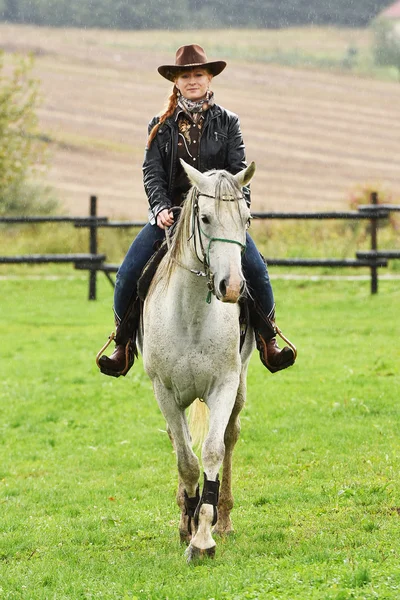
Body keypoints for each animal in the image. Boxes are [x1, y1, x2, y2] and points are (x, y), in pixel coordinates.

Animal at [141, 161, 256, 564]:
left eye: (247, 218)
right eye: (205, 218)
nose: (232, 287)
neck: (190, 315)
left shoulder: (224, 385)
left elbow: (213, 450)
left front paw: (204, 536)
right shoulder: (164, 392)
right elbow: (186, 459)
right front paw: (188, 524)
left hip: (239, 385)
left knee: (229, 436)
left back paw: (223, 519)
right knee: (179, 443)